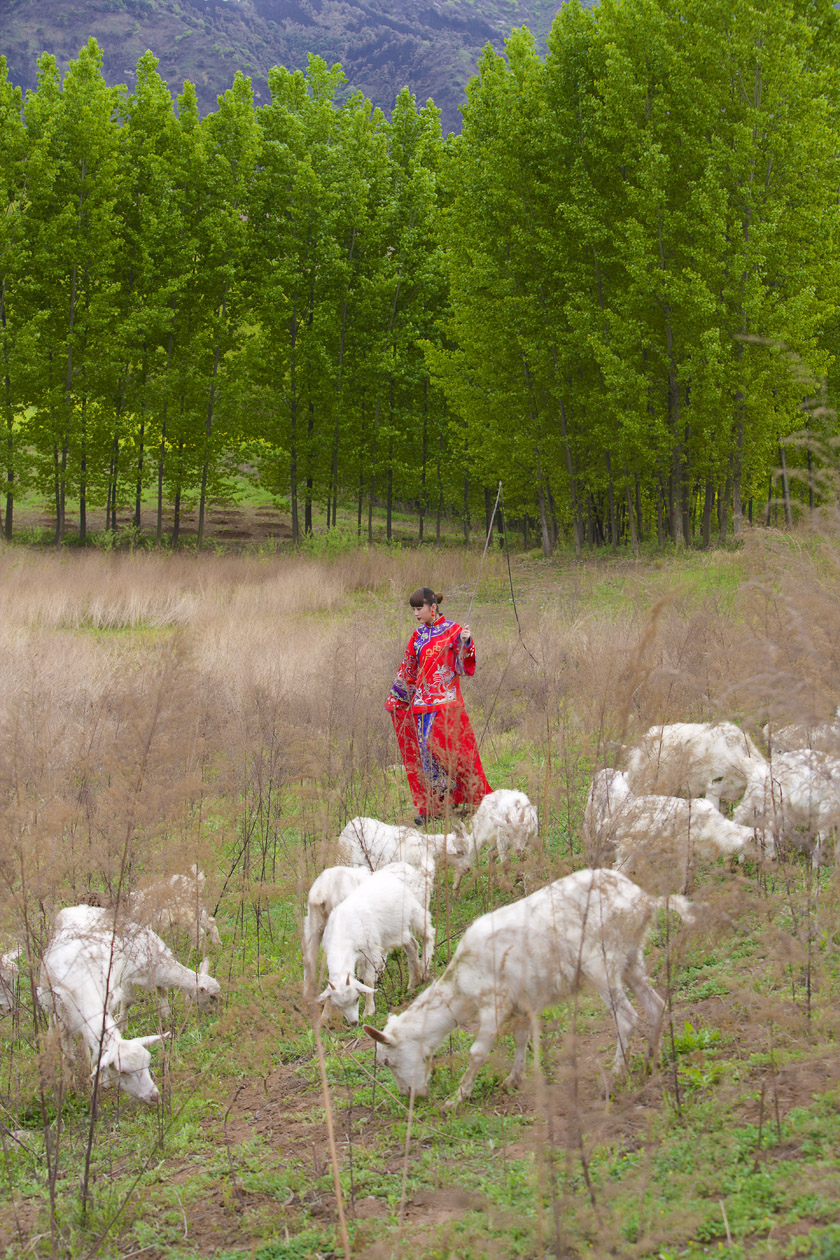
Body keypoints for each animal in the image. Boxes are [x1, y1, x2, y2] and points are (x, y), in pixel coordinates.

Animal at [39, 907, 168, 1103]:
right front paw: (71, 1089)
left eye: (147, 1063)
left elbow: (96, 1059)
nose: (155, 1097)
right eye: (123, 1072)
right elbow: (69, 1059)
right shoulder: (62, 1019)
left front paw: (98, 1084)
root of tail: (80, 907)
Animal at [317, 871, 440, 1028]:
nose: (354, 1023)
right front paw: (323, 1017)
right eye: (338, 1005)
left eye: (357, 999)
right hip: (400, 929)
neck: (343, 932)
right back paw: (412, 983)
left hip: (417, 910)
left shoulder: (371, 951)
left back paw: (425, 968)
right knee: (412, 946)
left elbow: (368, 980)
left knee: (428, 934)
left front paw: (369, 1011)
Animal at [365, 866, 695, 1103]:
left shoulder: (494, 1003)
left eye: (387, 1061)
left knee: (627, 1018)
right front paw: (515, 1078)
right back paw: (651, 1062)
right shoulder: (520, 1003)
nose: (411, 1095)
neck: (461, 990)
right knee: (655, 1005)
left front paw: (456, 1098)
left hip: (601, 964)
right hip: (630, 959)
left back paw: (615, 1077)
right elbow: (520, 1037)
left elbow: (477, 1051)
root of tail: (645, 901)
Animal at [581, 766, 770, 887]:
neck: (714, 828)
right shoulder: (683, 850)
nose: (772, 862)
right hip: (611, 841)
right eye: (761, 844)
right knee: (616, 867)